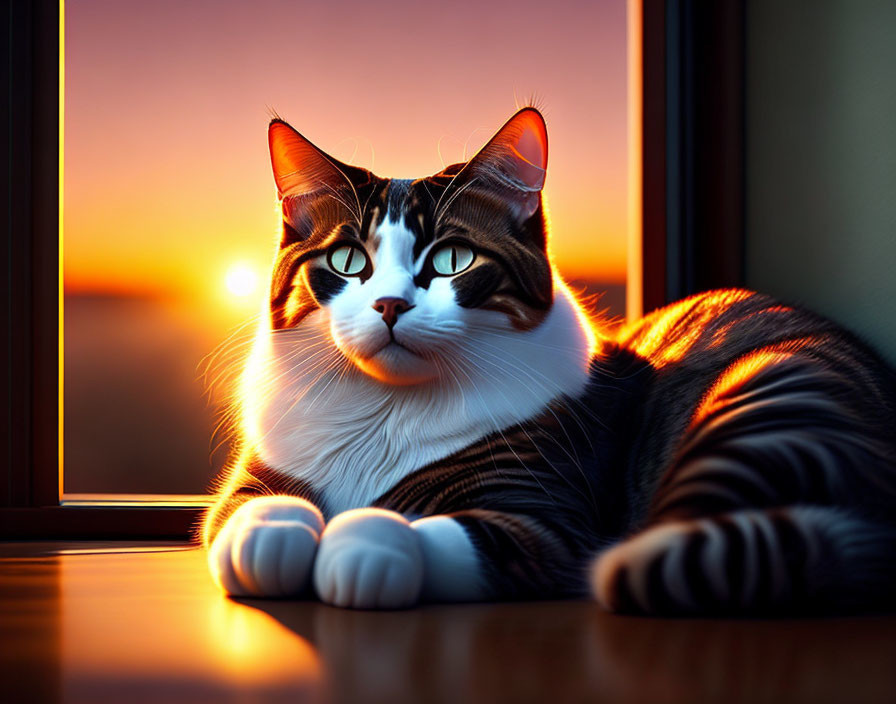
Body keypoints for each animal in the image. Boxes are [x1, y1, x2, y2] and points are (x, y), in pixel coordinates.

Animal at [201, 107, 896, 612]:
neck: (386, 409)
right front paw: (270, 542)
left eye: (452, 259)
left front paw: (360, 548)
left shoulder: (545, 513)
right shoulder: (253, 478)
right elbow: (250, 511)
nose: (391, 305)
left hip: (766, 394)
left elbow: (433, 531)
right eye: (347, 260)